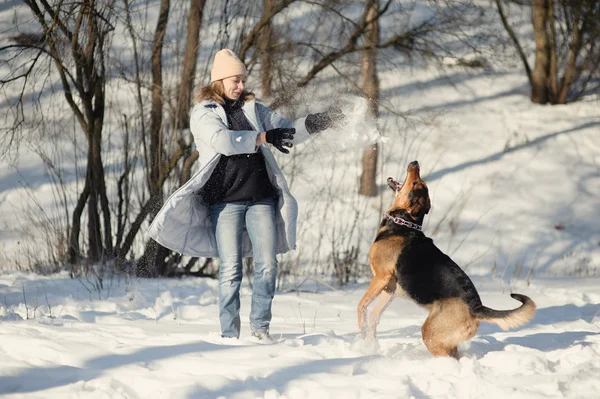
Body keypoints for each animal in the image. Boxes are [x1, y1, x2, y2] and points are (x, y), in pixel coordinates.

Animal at [358, 161, 536, 358]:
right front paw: (370, 344)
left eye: (416, 184)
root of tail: (475, 307)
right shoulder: (391, 289)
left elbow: (361, 306)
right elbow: (374, 315)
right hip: (447, 340)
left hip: (430, 333)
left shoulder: (381, 277)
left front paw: (361, 336)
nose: (415, 163)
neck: (403, 224)